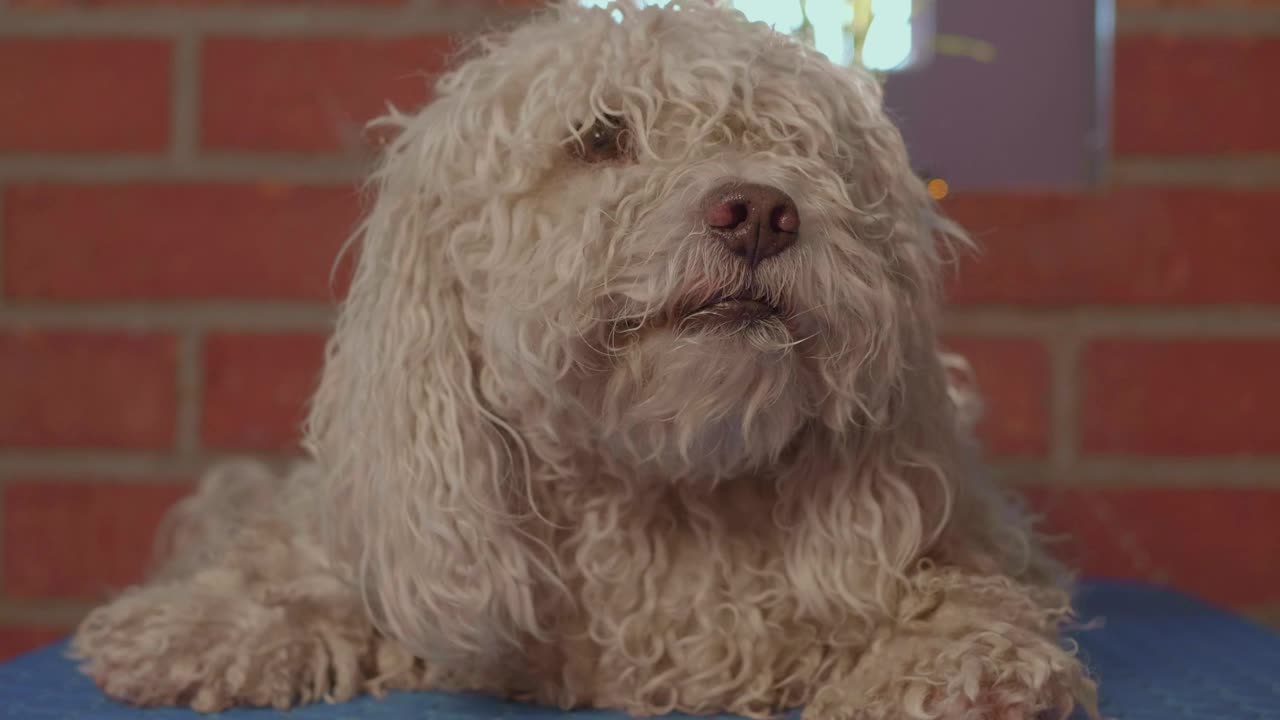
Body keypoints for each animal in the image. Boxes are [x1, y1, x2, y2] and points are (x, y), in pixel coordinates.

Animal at [72, 2, 1100, 712]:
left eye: (797, 146)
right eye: (601, 137)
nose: (761, 210)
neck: (662, 495)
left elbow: (957, 598)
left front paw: (965, 665)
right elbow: (312, 578)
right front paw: (201, 622)